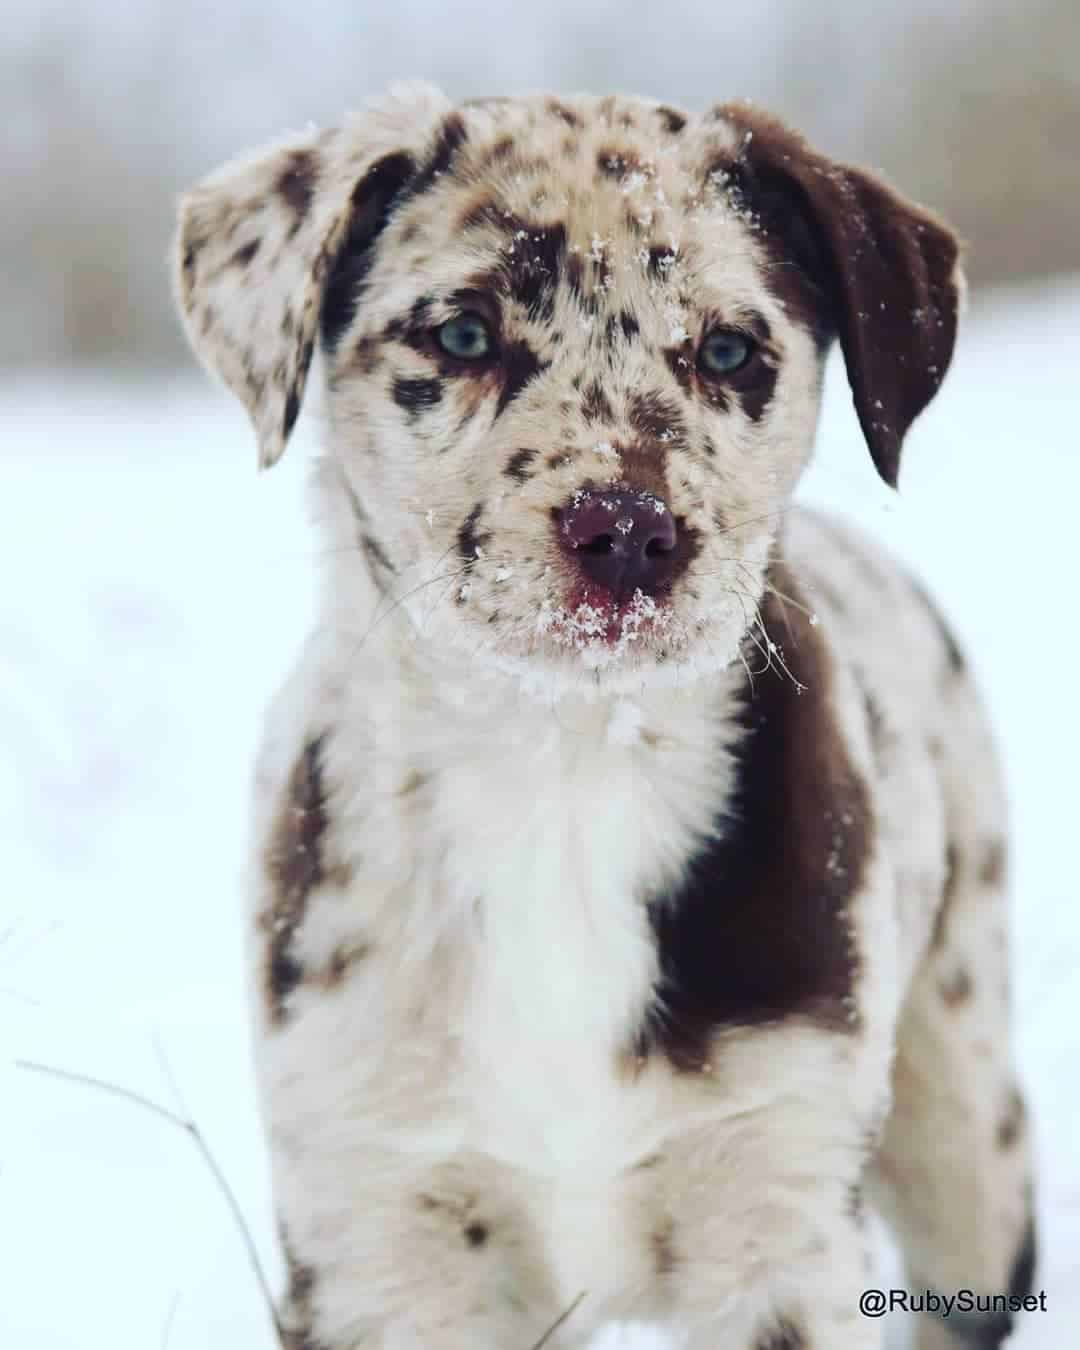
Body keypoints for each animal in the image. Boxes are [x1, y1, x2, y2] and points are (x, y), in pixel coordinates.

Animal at [172, 84, 1031, 1350]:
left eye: (728, 350)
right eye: (461, 336)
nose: (627, 529)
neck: (562, 775)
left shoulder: (782, 1199)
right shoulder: (378, 1219)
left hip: (969, 1126)